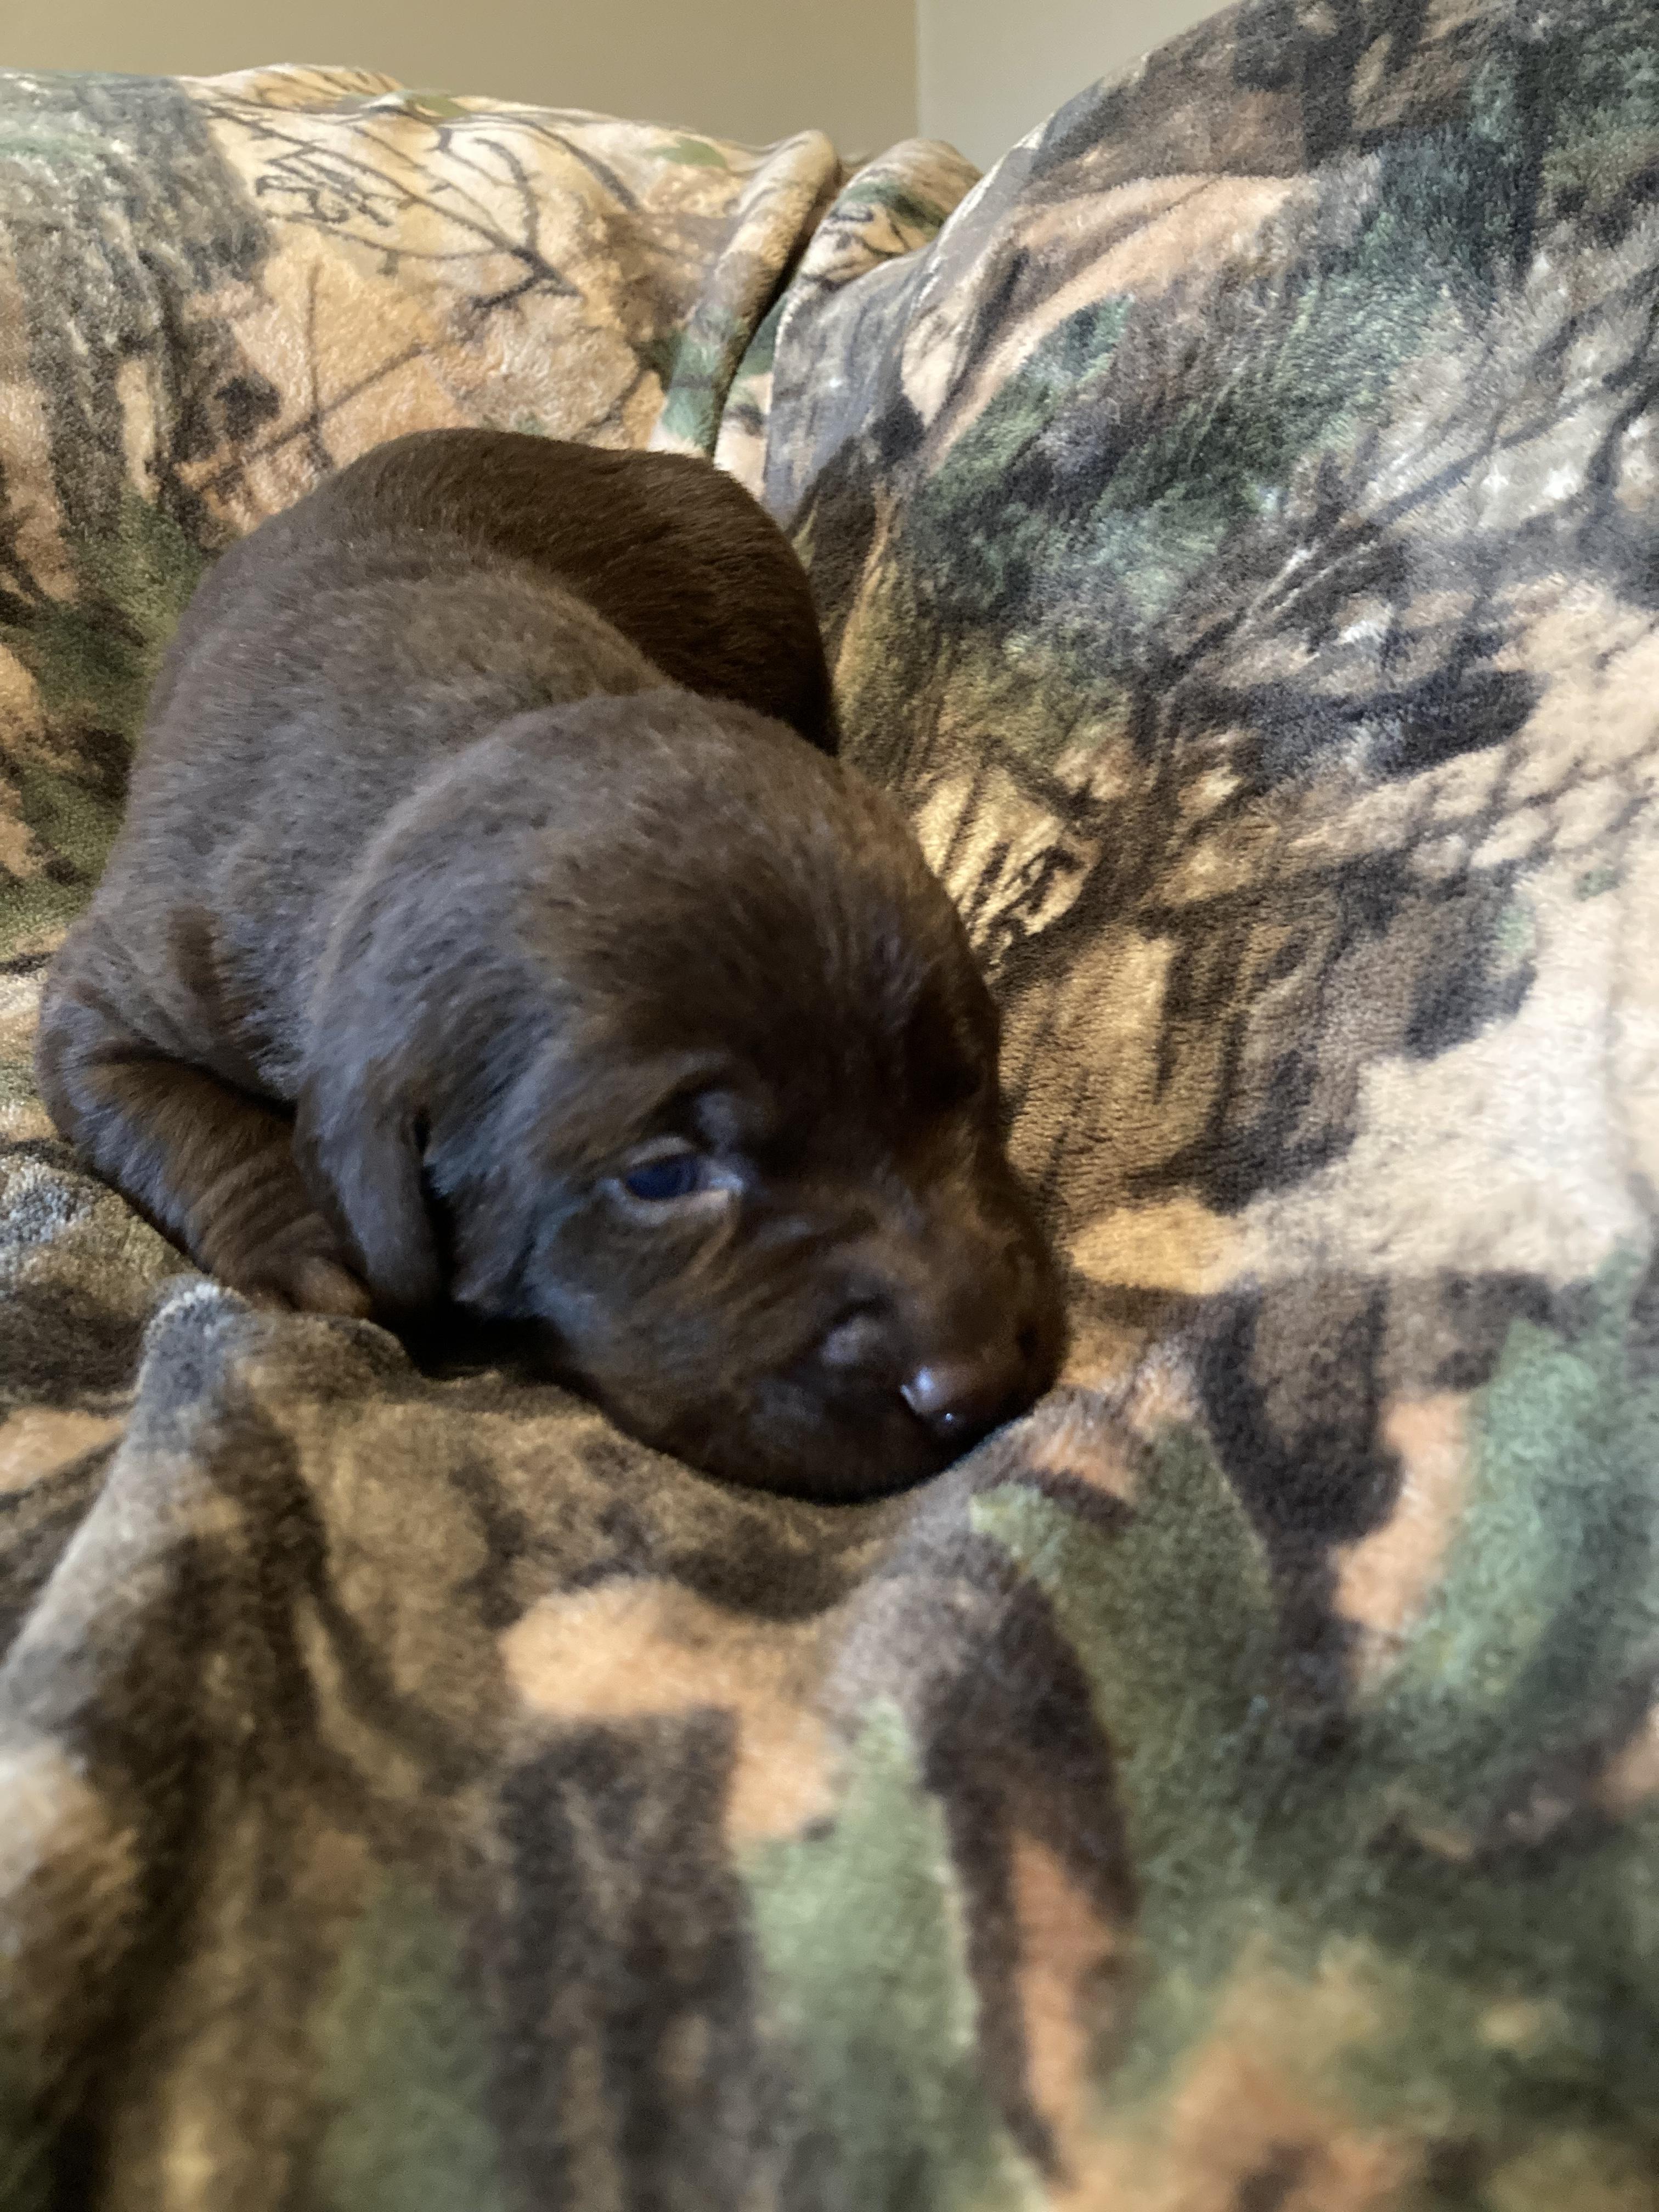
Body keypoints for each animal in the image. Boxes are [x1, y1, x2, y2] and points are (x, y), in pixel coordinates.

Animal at [36, 429, 1064, 1498]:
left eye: (968, 1081)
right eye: (662, 1179)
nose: (979, 1379)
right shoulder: (127, 986)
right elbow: (170, 1110)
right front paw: (302, 1238)